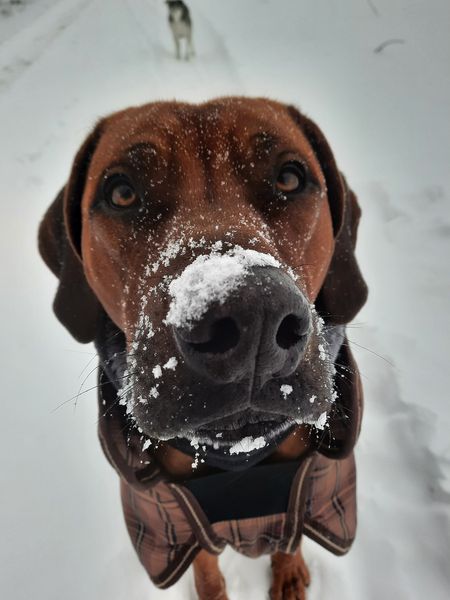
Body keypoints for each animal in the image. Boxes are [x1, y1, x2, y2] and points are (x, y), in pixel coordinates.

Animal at [40, 96, 368, 596]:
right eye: (122, 192)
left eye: (290, 178)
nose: (253, 318)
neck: (239, 461)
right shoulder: (169, 526)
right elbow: (205, 563)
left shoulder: (315, 493)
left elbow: (290, 536)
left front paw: (289, 574)